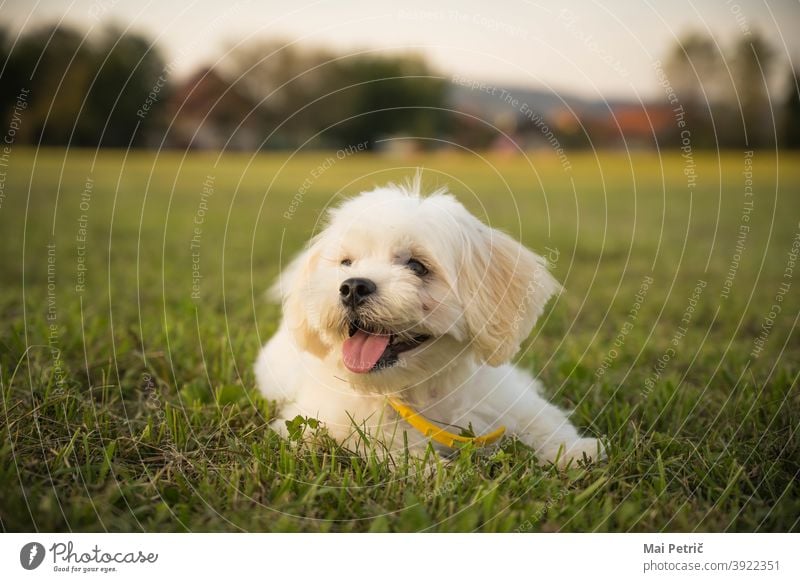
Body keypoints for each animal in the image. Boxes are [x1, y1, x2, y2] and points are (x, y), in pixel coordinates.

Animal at [256, 180, 600, 468]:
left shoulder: (502, 396)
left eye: (417, 266)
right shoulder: (326, 419)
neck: (419, 389)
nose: (353, 286)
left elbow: (539, 418)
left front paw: (574, 450)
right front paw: (432, 470)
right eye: (346, 263)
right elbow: (383, 439)